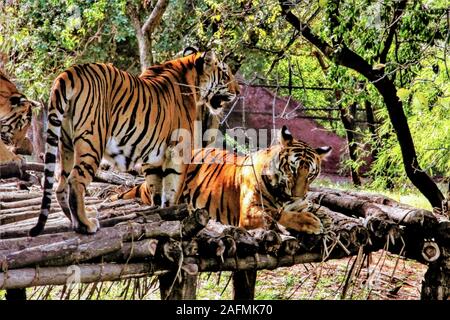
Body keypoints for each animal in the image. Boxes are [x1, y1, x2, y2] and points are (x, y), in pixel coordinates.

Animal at [29, 49, 239, 235]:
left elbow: (156, 186)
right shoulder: (179, 149)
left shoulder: (153, 155)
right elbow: (173, 186)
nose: (238, 91)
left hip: (66, 143)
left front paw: (161, 211)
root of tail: (70, 72)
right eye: (225, 74)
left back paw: (74, 220)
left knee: (60, 185)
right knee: (75, 180)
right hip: (92, 141)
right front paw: (176, 212)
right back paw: (85, 224)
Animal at [118, 125, 332, 235]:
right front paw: (311, 222)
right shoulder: (249, 212)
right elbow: (275, 214)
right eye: (292, 169)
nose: (298, 194)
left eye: (311, 174)